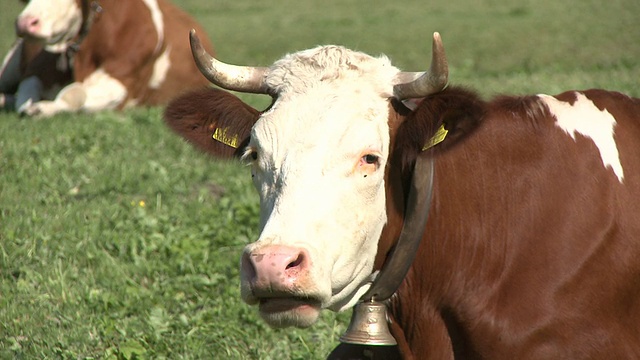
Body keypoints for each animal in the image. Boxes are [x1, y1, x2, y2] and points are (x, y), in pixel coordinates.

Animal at [14, 0, 215, 116]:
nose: (25, 23)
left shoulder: (123, 85)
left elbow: (75, 94)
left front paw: (41, 109)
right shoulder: (36, 72)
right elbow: (27, 89)